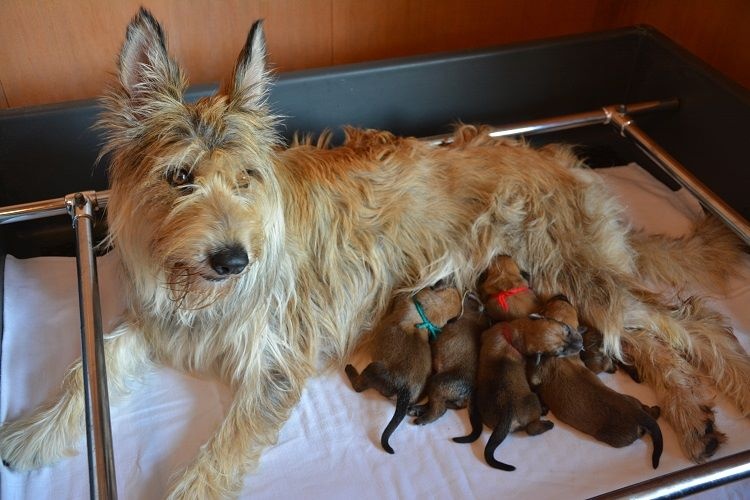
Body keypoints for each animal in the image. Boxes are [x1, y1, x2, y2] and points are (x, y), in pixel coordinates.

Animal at [408, 293, 488, 425]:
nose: (469, 293)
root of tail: (469, 392)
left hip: (437, 383)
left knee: (439, 410)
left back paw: (422, 418)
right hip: (445, 395)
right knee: (441, 406)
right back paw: (417, 410)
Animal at [528, 296, 664, 468]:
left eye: (545, 308)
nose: (561, 295)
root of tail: (638, 414)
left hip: (617, 438)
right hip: (635, 401)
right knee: (648, 410)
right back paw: (656, 410)